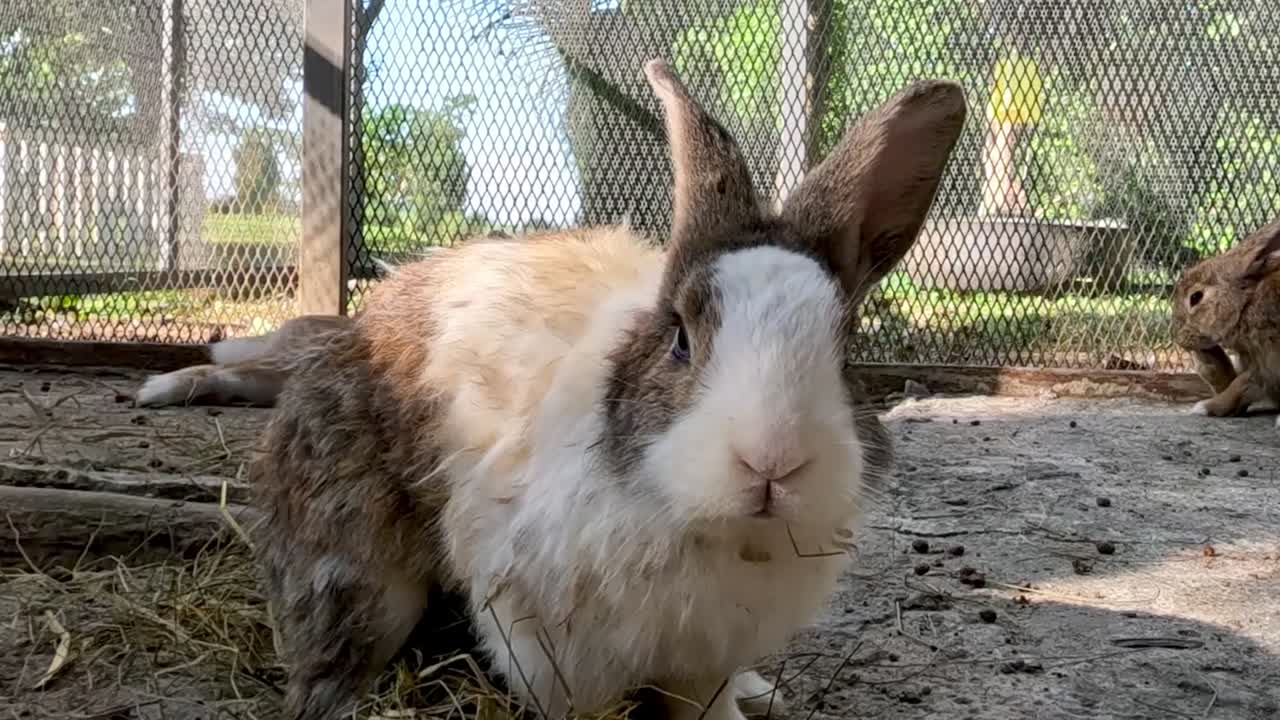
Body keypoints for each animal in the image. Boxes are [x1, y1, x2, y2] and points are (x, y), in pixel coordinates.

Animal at [249, 59, 966, 720]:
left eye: (845, 349)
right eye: (680, 339)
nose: (772, 462)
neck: (716, 528)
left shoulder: (705, 656)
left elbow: (708, 701)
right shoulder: (543, 640)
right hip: (363, 579)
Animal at [1172, 216, 1280, 424]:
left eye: (1195, 297)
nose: (1180, 338)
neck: (1246, 304)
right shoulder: (1262, 368)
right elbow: (1241, 386)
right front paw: (1206, 407)